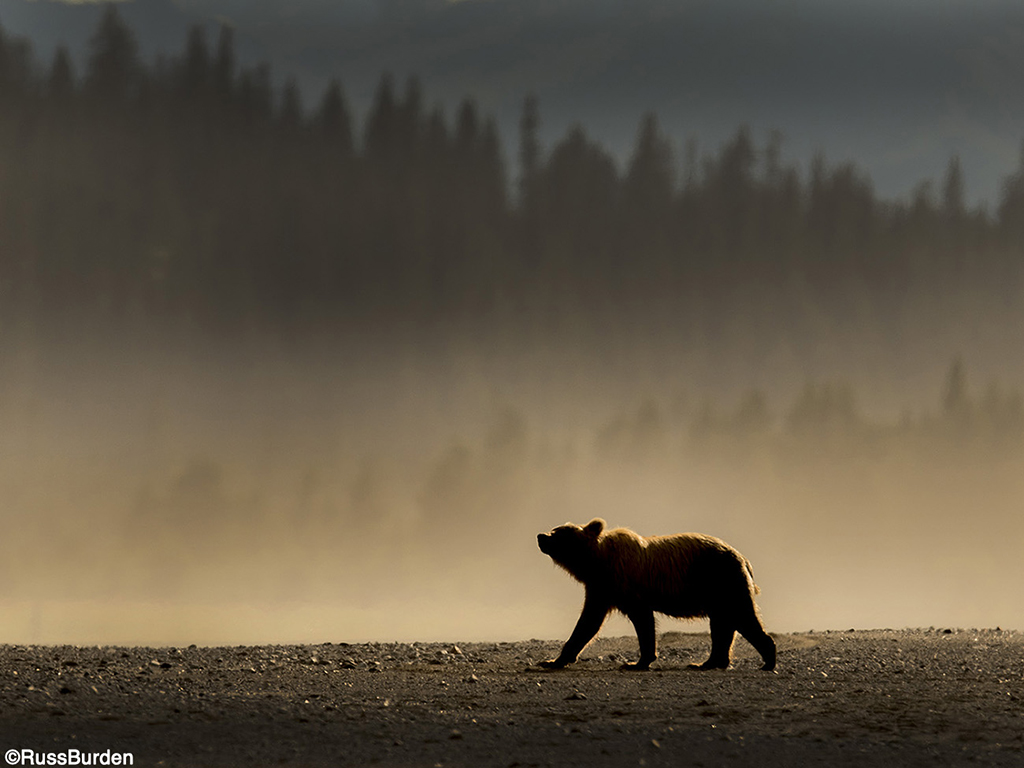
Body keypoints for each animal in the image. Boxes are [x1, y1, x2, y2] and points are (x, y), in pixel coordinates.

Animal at [540, 520, 770, 671]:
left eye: (557, 533)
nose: (540, 536)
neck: (596, 562)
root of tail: (744, 559)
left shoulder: (625, 584)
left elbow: (641, 622)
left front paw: (637, 662)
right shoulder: (602, 588)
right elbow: (589, 622)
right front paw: (555, 660)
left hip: (724, 580)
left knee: (742, 617)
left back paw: (767, 660)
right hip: (718, 591)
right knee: (723, 624)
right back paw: (708, 662)